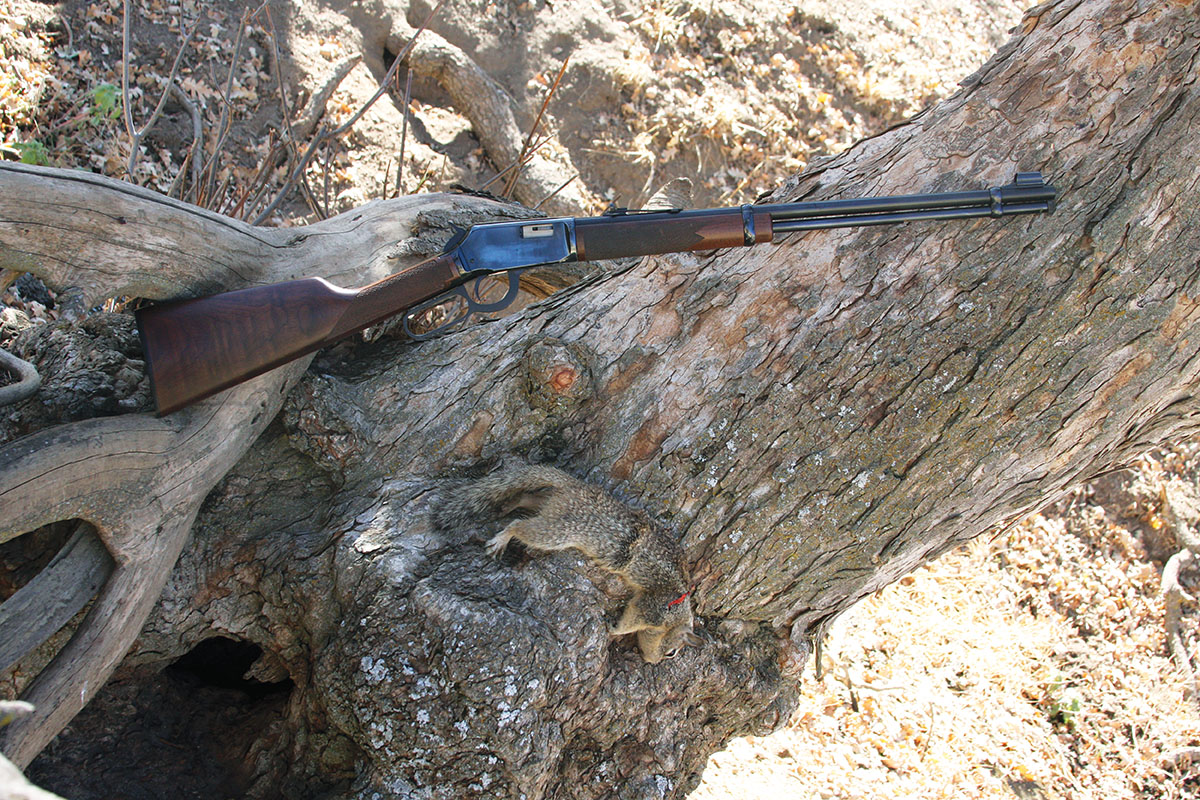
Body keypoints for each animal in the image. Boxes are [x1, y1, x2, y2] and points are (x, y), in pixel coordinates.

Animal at [433, 464, 700, 664]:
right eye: (671, 652)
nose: (651, 662)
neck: (678, 608)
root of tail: (574, 487)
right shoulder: (653, 607)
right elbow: (630, 620)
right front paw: (613, 629)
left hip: (551, 506)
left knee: (529, 497)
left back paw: (510, 505)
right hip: (560, 530)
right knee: (519, 525)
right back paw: (502, 538)